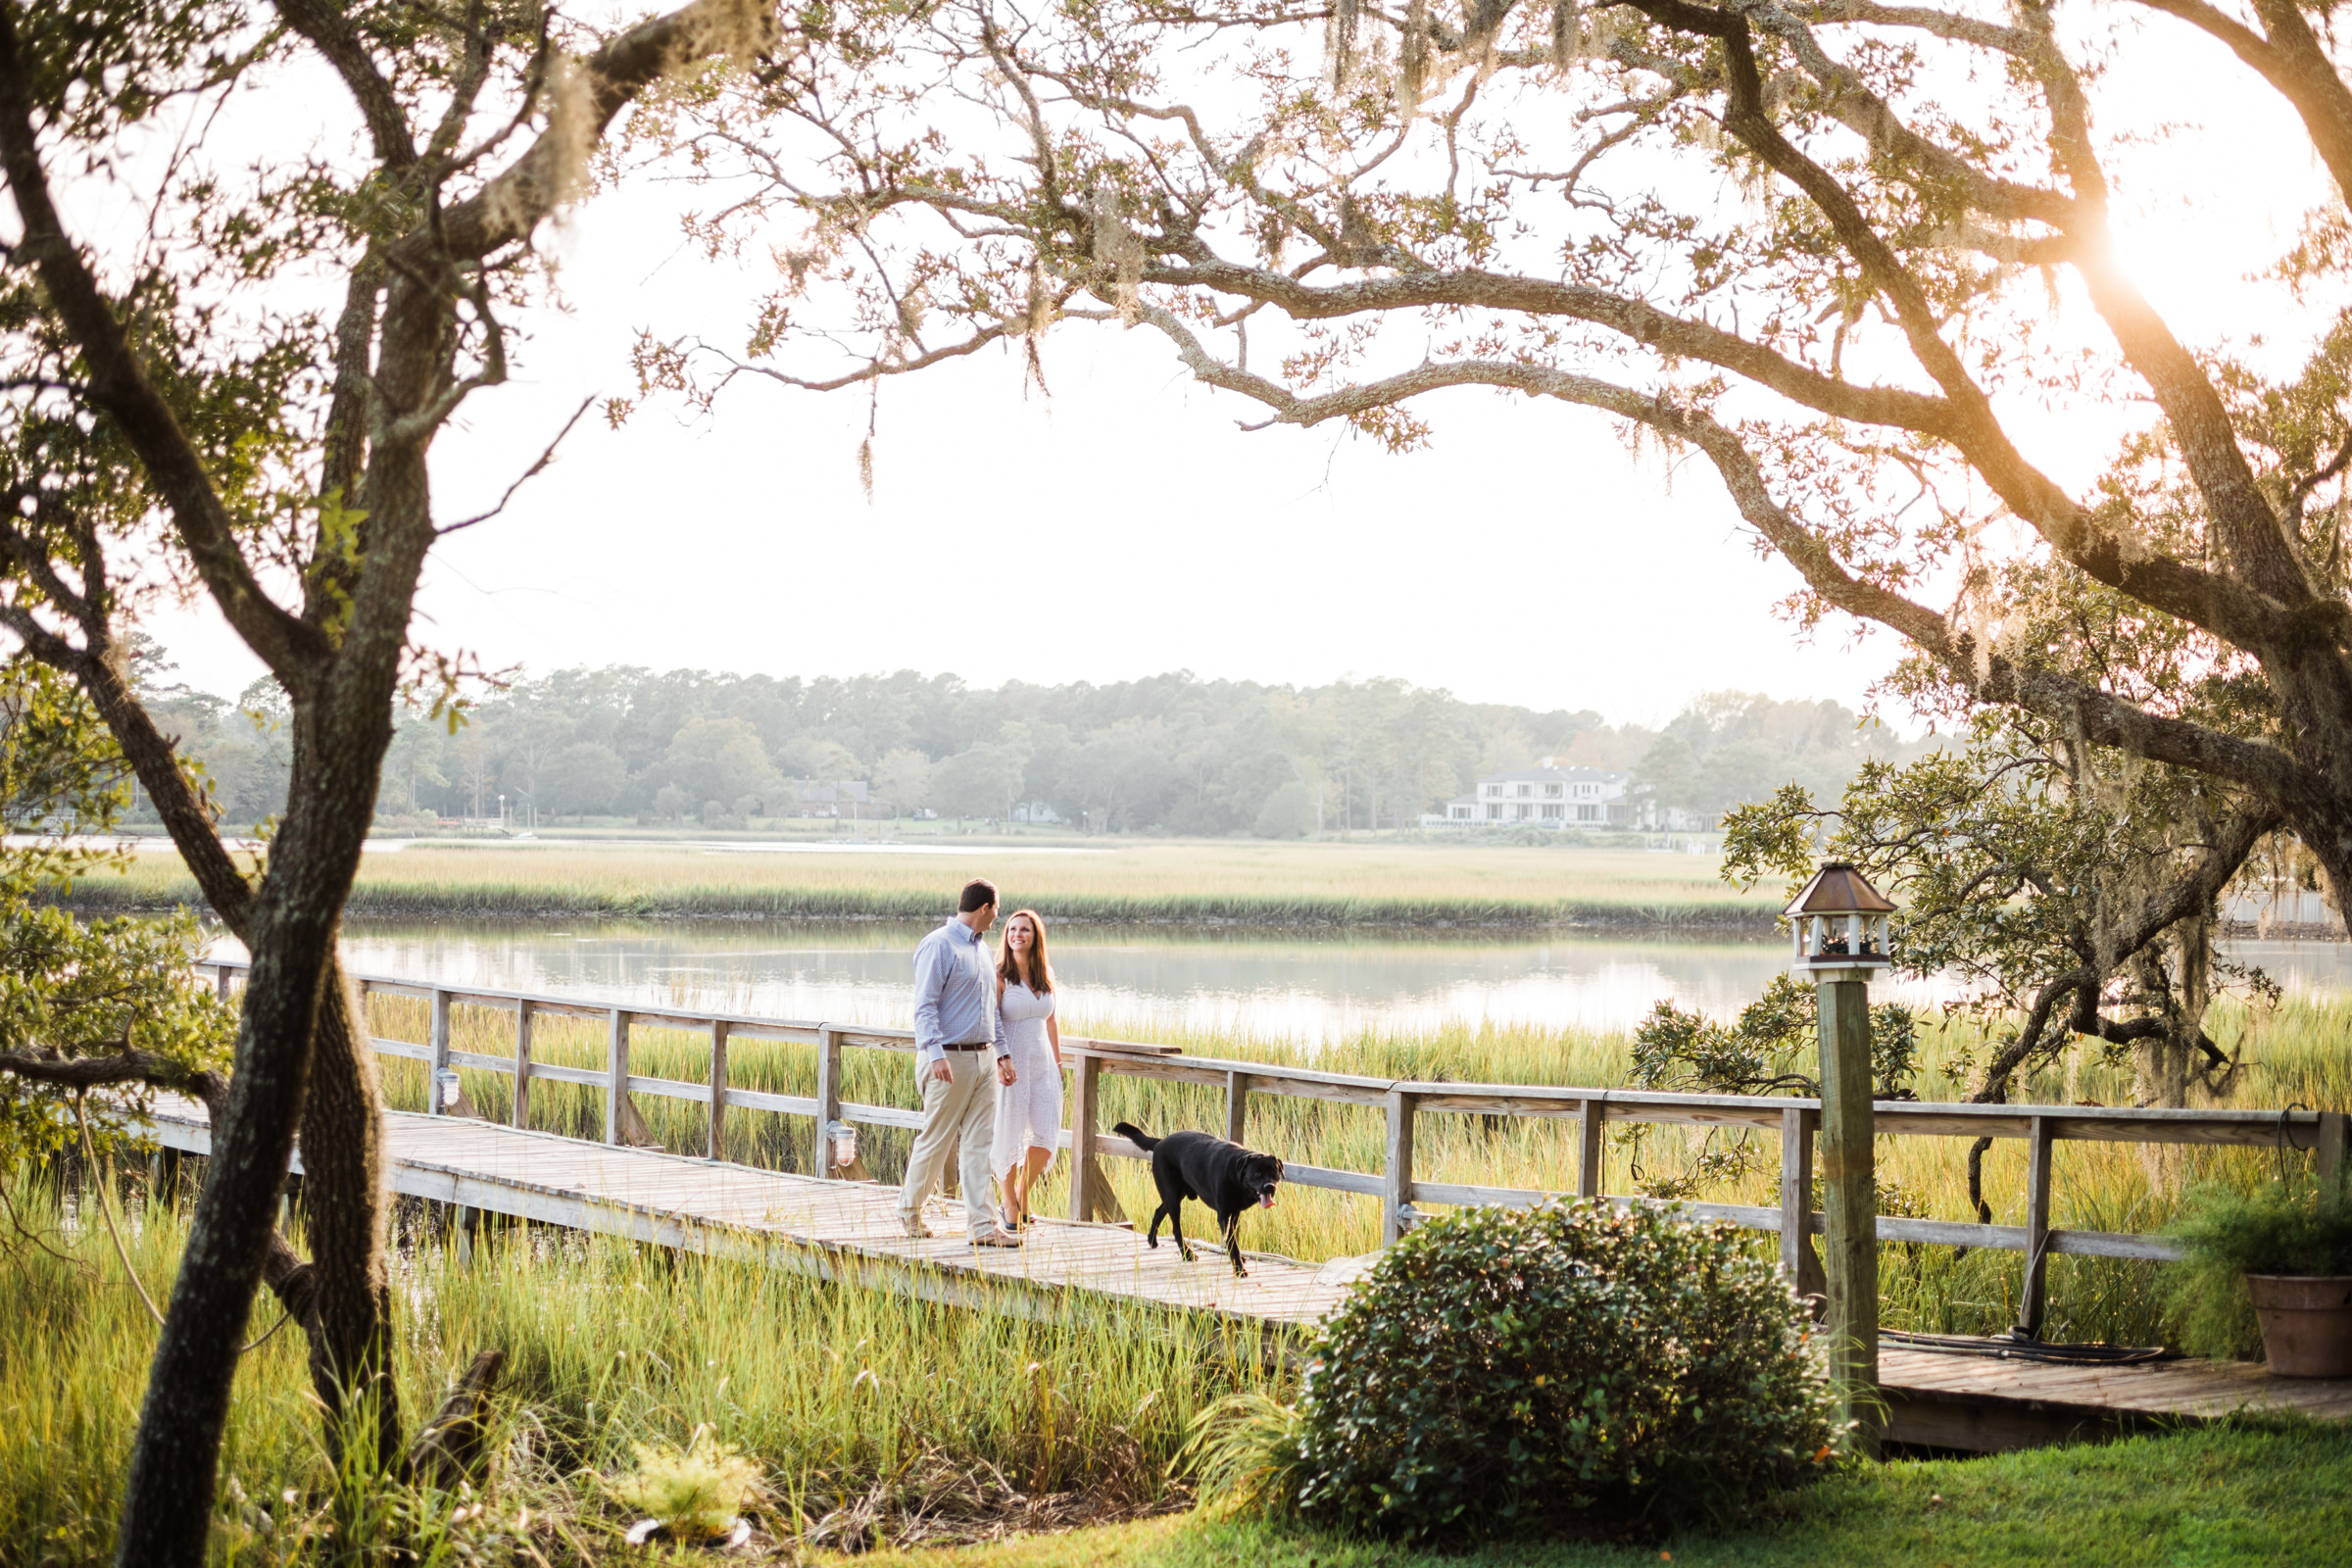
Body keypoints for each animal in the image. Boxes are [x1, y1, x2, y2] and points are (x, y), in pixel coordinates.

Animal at [1114, 1114, 1289, 1278]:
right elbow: (1231, 1243)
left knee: (1159, 1212)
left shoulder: (1234, 1213)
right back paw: (1187, 1254)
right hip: (1172, 1196)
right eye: (1257, 1173)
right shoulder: (1224, 1215)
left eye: (1274, 1173)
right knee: (1176, 1228)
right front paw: (1239, 1270)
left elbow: (1233, 1240)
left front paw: (1239, 1260)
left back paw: (1152, 1240)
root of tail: (1160, 1142)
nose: (1269, 1186)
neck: (1236, 1175)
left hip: (1176, 1194)